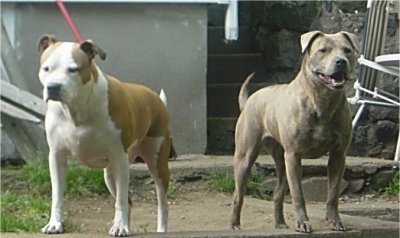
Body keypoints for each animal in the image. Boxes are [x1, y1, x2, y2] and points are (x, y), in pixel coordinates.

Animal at [35, 34, 170, 236]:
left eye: (73, 69)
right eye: (46, 68)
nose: (53, 87)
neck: (77, 108)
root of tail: (156, 99)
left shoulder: (119, 157)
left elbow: (120, 199)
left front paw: (120, 227)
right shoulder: (57, 156)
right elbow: (57, 195)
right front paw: (55, 224)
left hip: (156, 162)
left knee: (161, 201)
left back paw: (159, 228)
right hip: (110, 174)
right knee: (129, 201)